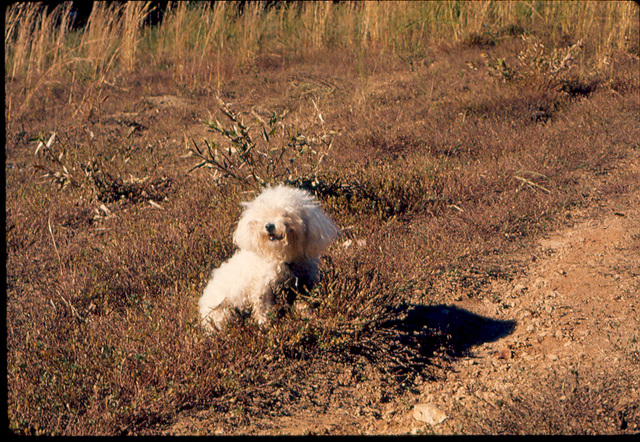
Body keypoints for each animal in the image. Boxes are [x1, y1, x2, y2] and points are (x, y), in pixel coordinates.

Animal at [199, 185, 340, 330]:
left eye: (286, 214)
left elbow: (304, 304)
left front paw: (309, 316)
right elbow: (263, 309)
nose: (269, 226)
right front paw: (266, 326)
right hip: (223, 312)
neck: (283, 259)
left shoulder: (302, 284)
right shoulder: (262, 289)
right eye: (264, 215)